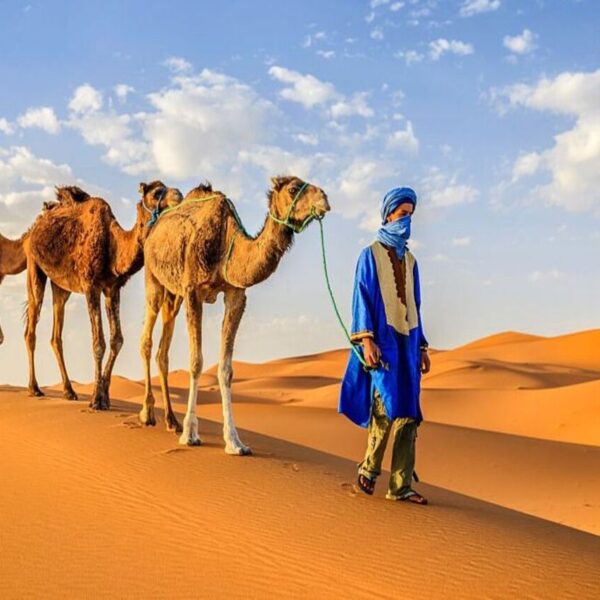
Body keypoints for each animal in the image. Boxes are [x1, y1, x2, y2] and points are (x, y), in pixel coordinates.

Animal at [24, 182, 183, 408]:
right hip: (34, 265)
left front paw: (105, 395)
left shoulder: (112, 289)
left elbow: (117, 339)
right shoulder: (91, 286)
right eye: (156, 192)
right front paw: (96, 399)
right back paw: (34, 388)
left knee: (56, 333)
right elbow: (98, 342)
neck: (113, 245)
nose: (179, 194)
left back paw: (69, 391)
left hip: (61, 286)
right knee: (31, 325)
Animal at [139, 177, 330, 454]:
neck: (224, 239)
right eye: (293, 188)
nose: (324, 198)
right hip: (153, 279)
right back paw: (147, 414)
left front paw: (234, 441)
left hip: (174, 295)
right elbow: (196, 362)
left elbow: (226, 369)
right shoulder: (193, 290)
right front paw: (190, 434)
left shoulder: (236, 294)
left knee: (163, 350)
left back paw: (171, 421)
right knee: (147, 339)